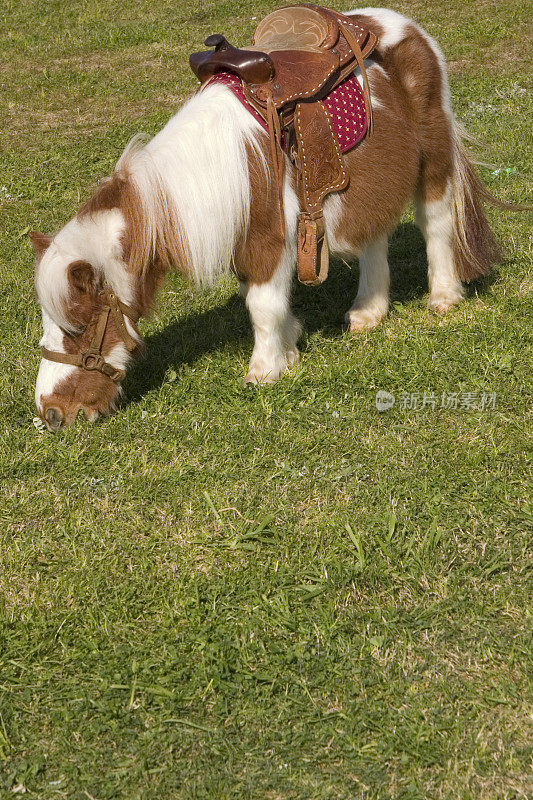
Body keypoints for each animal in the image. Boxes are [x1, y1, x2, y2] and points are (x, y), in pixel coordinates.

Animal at [33, 7, 508, 432]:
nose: (50, 414)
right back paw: (367, 312)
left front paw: (264, 370)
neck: (219, 167)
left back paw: (443, 297)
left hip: (434, 162)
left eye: (79, 328)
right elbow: (258, 297)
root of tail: (401, 24)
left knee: (437, 224)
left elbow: (261, 304)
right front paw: (290, 343)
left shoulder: (268, 238)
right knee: (373, 236)